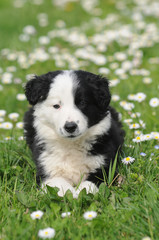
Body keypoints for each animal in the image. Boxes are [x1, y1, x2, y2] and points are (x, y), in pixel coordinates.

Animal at [23, 70, 124, 198]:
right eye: (56, 106)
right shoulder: (47, 169)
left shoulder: (104, 167)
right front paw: (70, 195)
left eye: (82, 103)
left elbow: (89, 184)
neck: (71, 145)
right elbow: (59, 185)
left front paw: (80, 194)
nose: (70, 127)